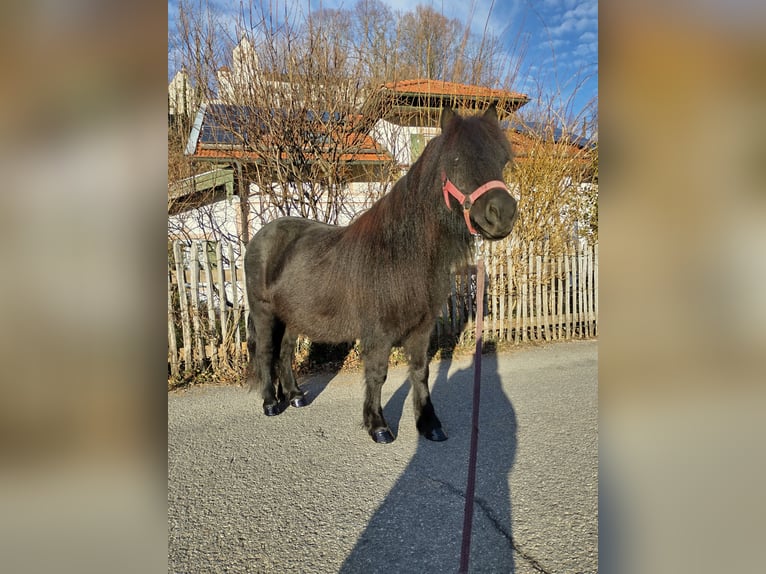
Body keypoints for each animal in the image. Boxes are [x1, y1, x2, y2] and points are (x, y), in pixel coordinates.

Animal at [244, 104, 520, 446]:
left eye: (502, 160)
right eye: (455, 159)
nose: (503, 213)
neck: (402, 255)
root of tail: (262, 235)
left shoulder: (421, 329)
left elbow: (420, 372)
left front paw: (430, 424)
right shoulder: (378, 332)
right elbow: (377, 374)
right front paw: (378, 426)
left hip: (293, 316)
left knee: (283, 353)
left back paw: (295, 396)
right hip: (264, 311)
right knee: (266, 352)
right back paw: (271, 403)